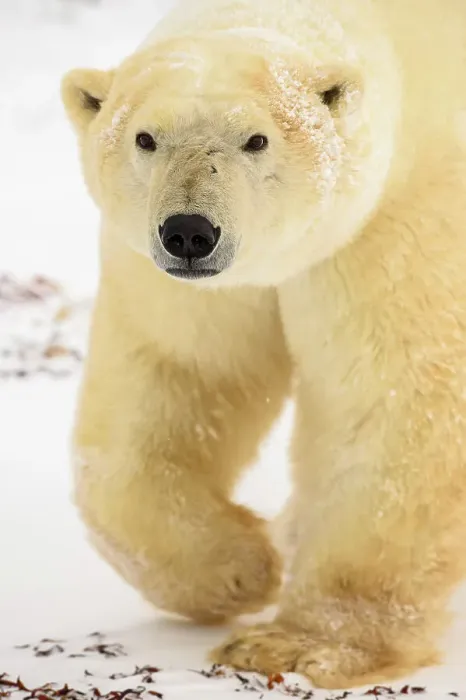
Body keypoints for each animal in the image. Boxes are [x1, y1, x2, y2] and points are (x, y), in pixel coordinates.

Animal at [61, 0, 466, 689]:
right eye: (146, 138)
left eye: (256, 139)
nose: (189, 233)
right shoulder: (190, 285)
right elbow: (180, 376)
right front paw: (242, 570)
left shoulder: (397, 226)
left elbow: (393, 406)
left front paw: (299, 645)